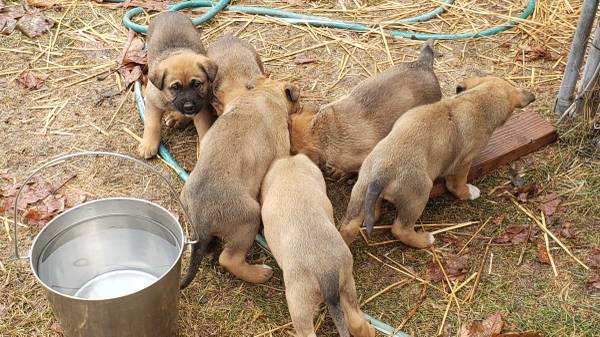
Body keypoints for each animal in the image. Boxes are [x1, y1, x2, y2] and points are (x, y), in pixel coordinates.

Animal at [139, 10, 218, 158]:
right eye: (175, 87)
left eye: (197, 84)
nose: (188, 106)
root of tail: (170, 12)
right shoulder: (153, 101)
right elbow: (152, 124)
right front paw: (148, 145)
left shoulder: (201, 107)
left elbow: (204, 128)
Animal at [178, 77, 300, 288]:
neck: (265, 93)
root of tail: (202, 218)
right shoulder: (281, 146)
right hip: (248, 220)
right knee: (229, 259)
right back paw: (260, 273)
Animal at [262, 154, 376, 336]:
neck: (291, 168)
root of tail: (326, 273)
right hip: (347, 281)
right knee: (355, 321)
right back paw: (370, 330)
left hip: (299, 301)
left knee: (306, 331)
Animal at [340, 77, 536, 248]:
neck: (475, 100)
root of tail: (381, 174)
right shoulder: (463, 163)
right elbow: (458, 185)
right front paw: (468, 193)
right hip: (418, 197)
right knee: (400, 229)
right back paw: (425, 240)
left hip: (360, 192)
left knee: (350, 225)